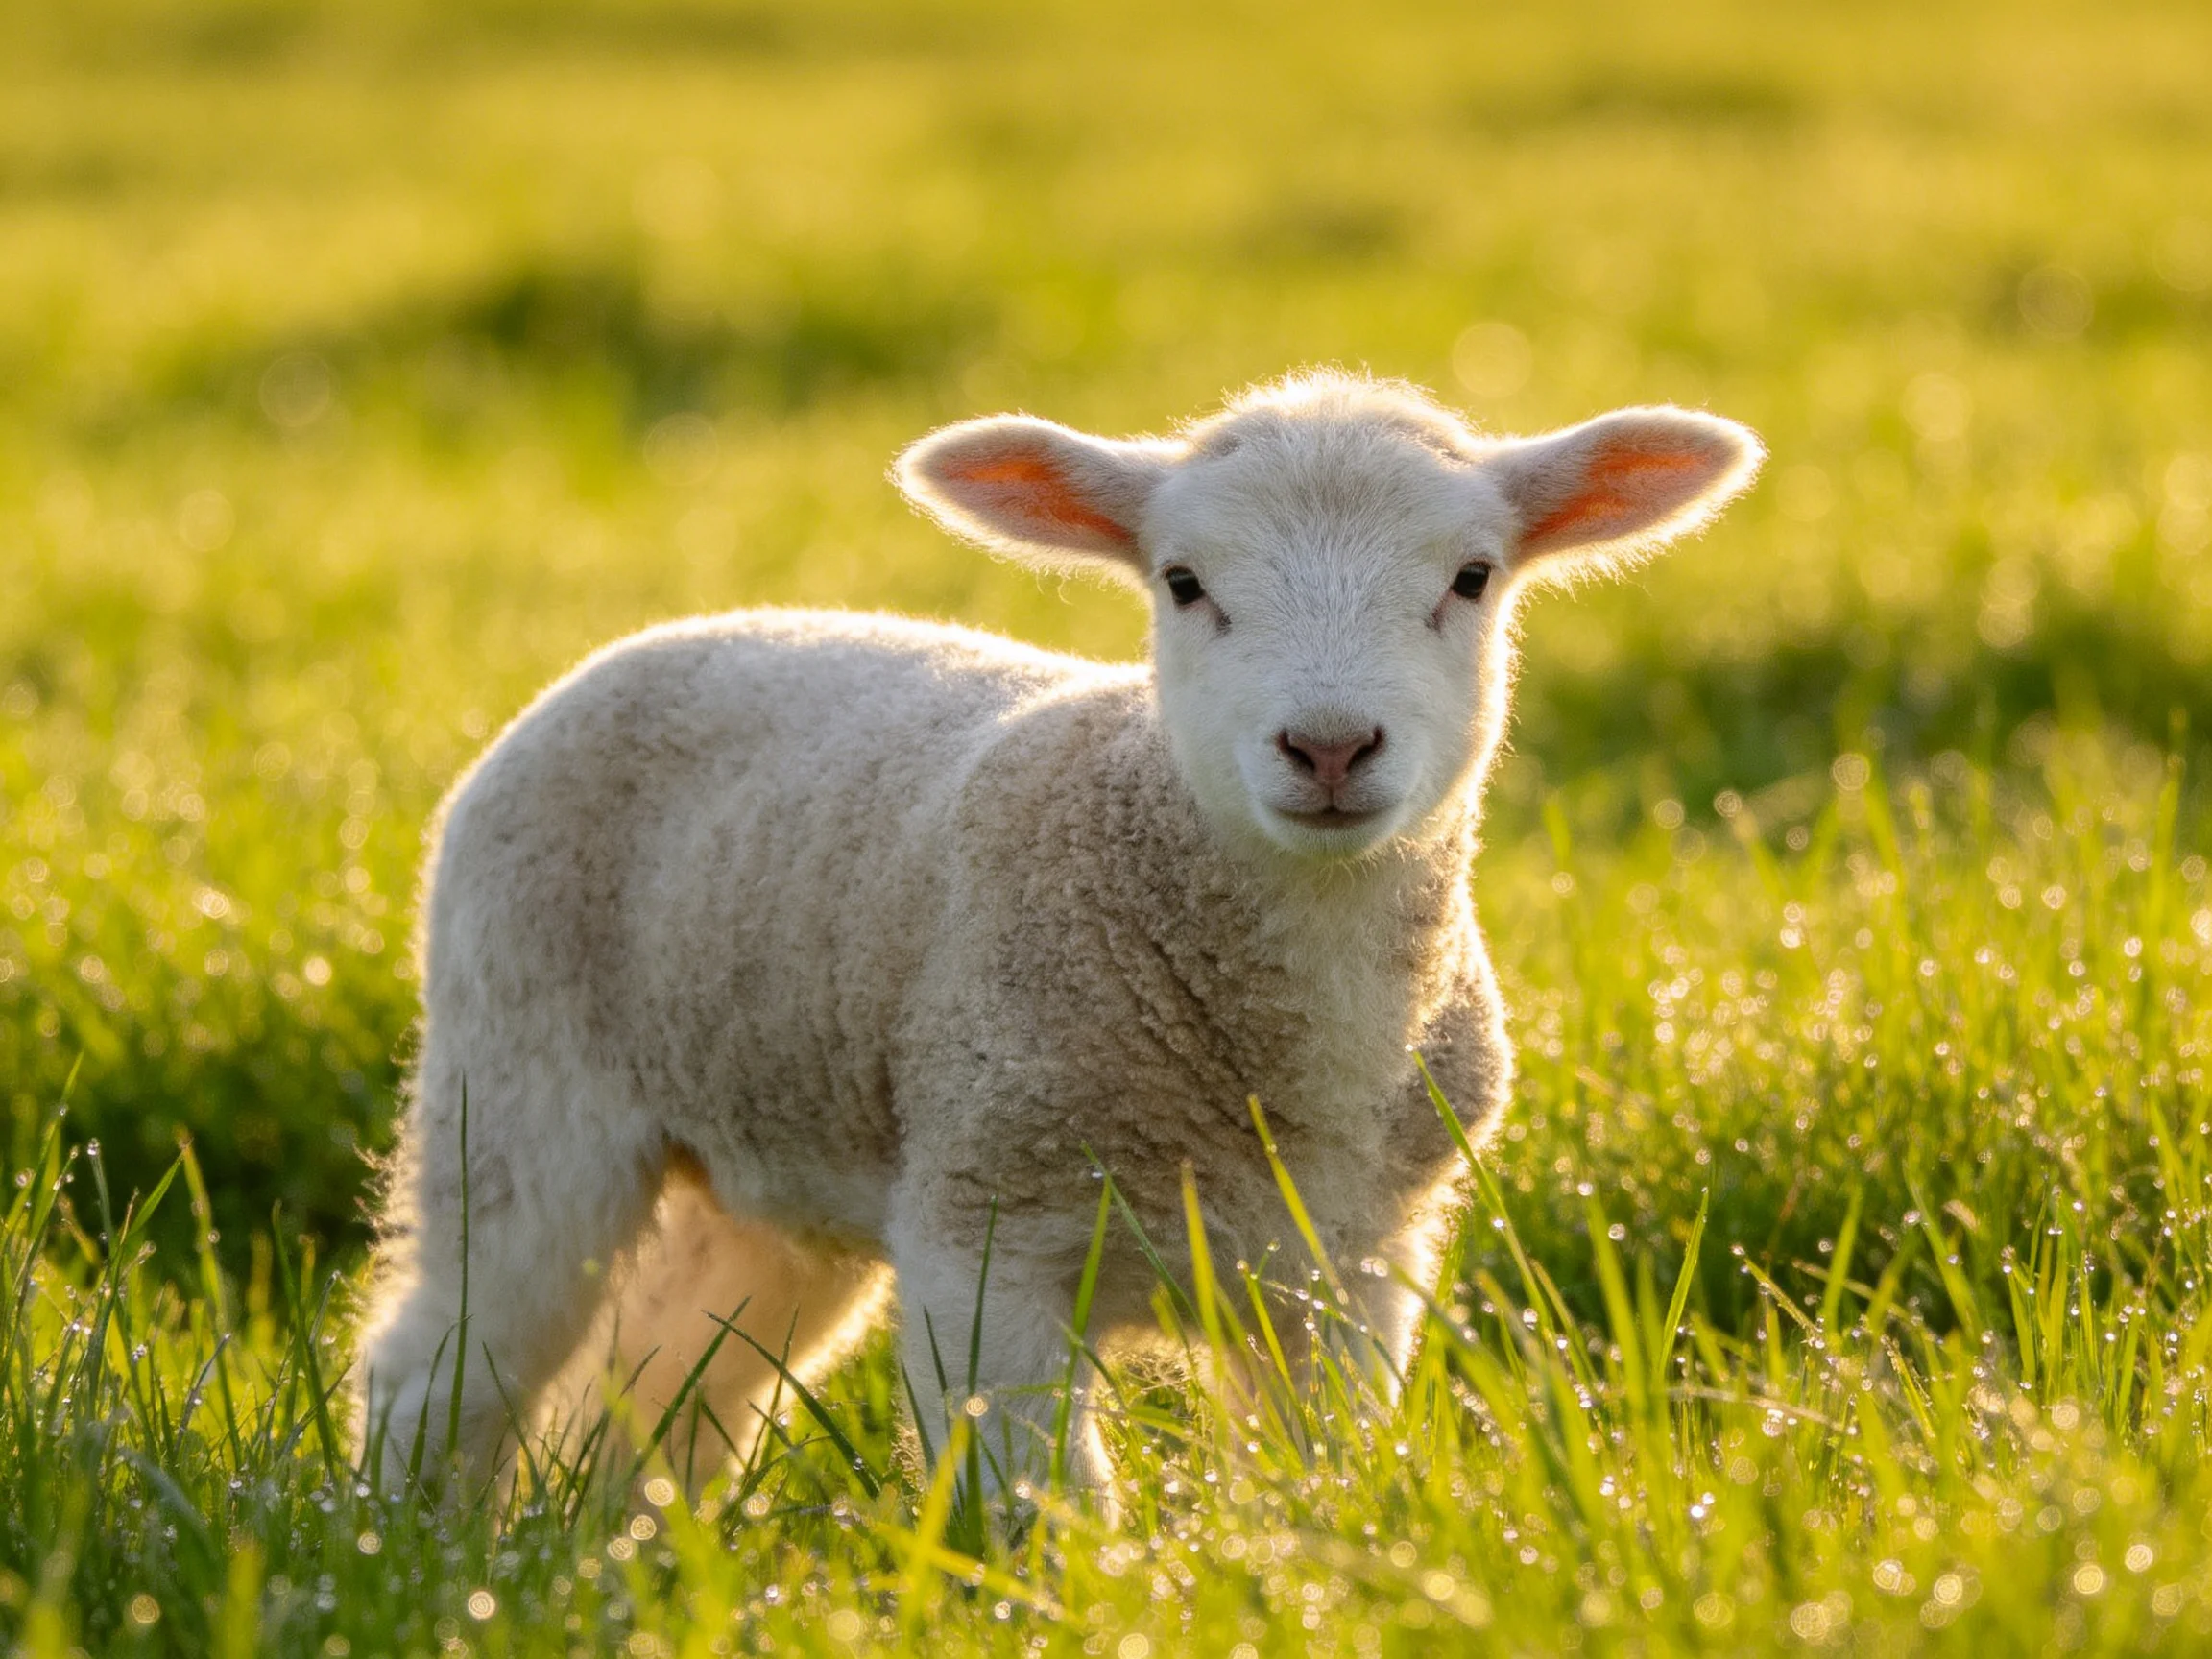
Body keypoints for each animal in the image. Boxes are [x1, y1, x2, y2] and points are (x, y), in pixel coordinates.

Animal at [355, 369, 1761, 1498]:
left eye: (1472, 579)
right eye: (1183, 584)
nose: (1328, 747)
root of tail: (654, 639)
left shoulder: (1353, 1266)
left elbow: (1323, 1480)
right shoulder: (986, 1238)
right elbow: (1048, 1511)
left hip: (768, 1164)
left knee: (671, 1378)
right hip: (518, 1085)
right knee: (445, 1359)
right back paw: (409, 1548)